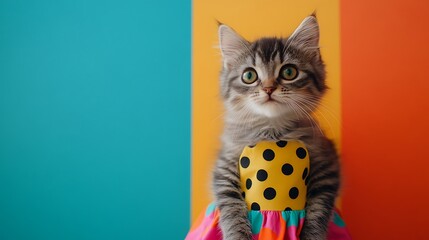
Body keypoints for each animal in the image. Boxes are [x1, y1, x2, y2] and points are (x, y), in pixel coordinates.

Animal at [212, 15, 340, 240]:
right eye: (249, 76)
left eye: (289, 72)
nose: (269, 88)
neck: (271, 130)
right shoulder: (224, 166)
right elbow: (230, 207)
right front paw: (238, 234)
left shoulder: (327, 165)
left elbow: (318, 212)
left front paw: (311, 235)